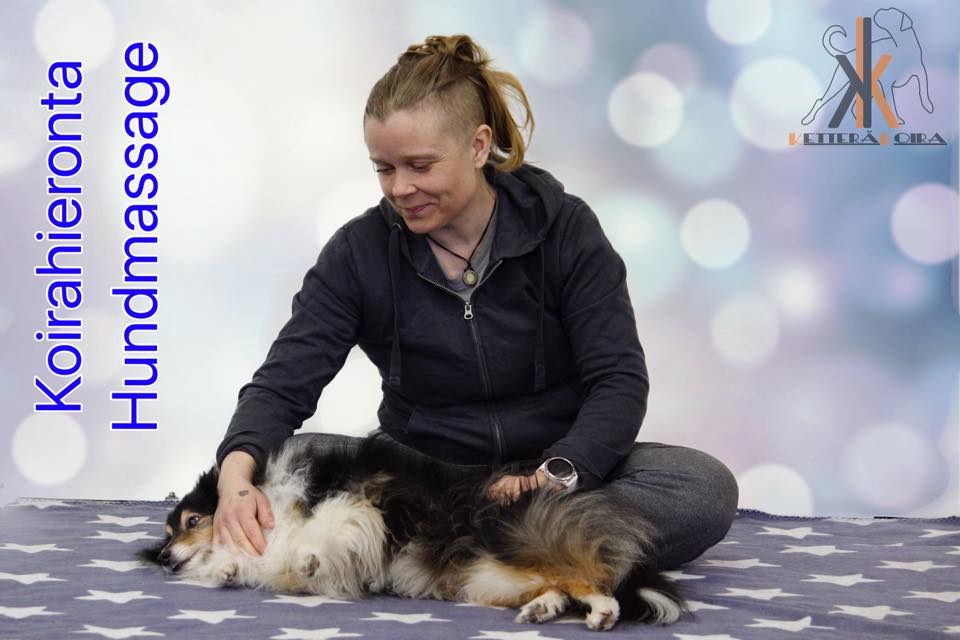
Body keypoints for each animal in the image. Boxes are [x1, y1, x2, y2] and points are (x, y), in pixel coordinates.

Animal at [137, 432, 686, 631]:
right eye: (167, 533)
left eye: (191, 521)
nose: (163, 558)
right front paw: (232, 569)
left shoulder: (357, 503)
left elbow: (323, 531)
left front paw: (308, 555)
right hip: (489, 577)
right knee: (556, 586)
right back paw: (541, 609)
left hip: (513, 542)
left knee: (590, 579)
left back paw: (602, 613)